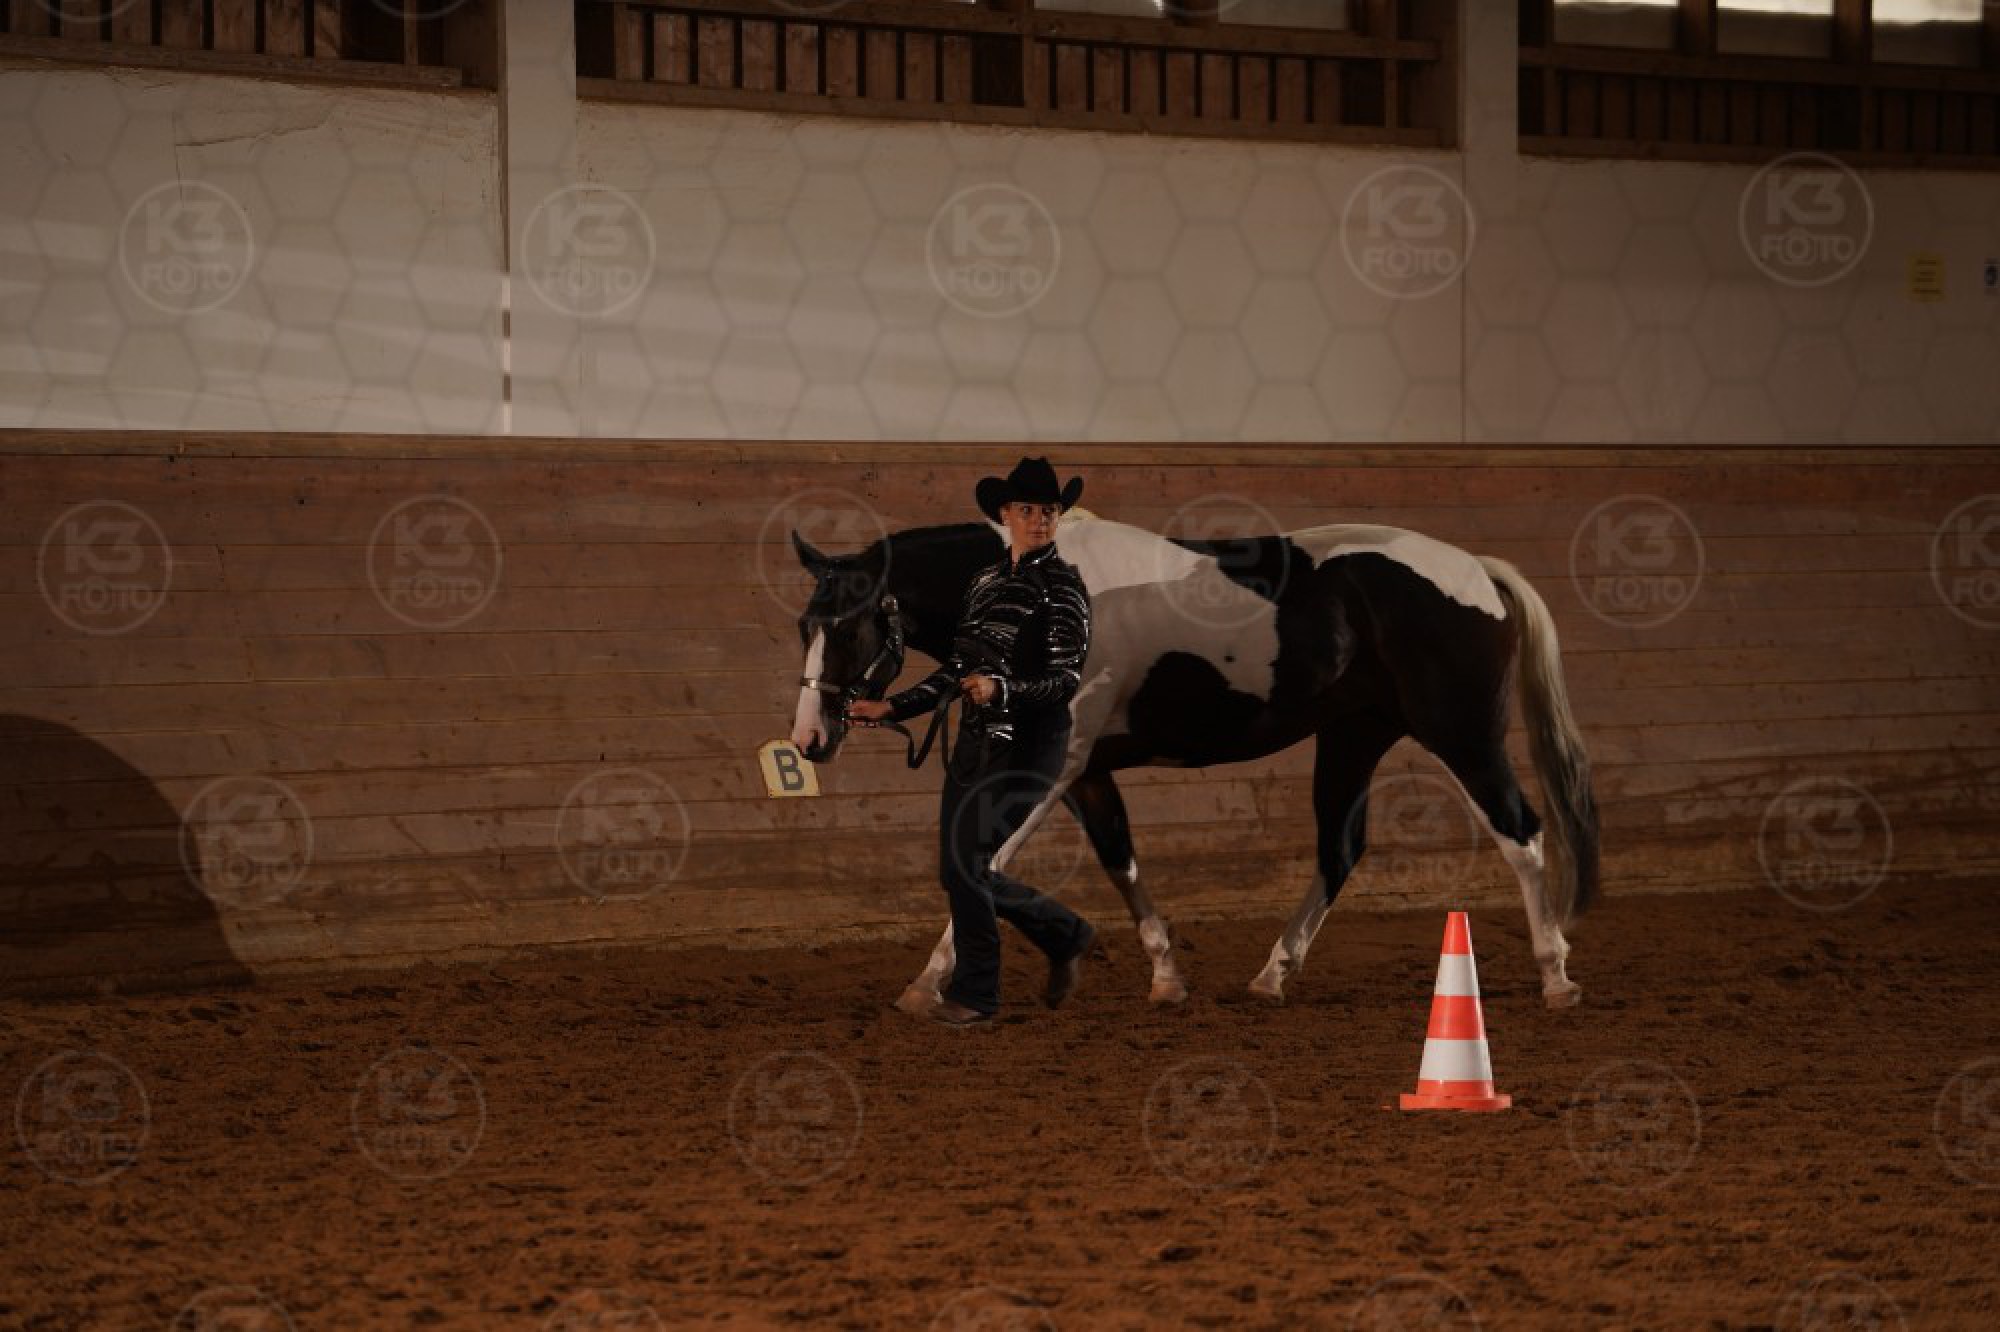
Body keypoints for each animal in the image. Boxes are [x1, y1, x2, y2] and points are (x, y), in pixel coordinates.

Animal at [787, 508, 1598, 1011]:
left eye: (851, 628)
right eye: (804, 625)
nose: (810, 739)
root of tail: (1476, 570)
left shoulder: (1053, 767)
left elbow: (983, 858)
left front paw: (927, 984)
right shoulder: (1086, 772)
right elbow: (1119, 861)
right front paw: (1166, 977)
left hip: (1461, 734)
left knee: (1521, 834)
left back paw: (1556, 974)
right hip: (1354, 735)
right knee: (1340, 849)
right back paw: (1271, 975)